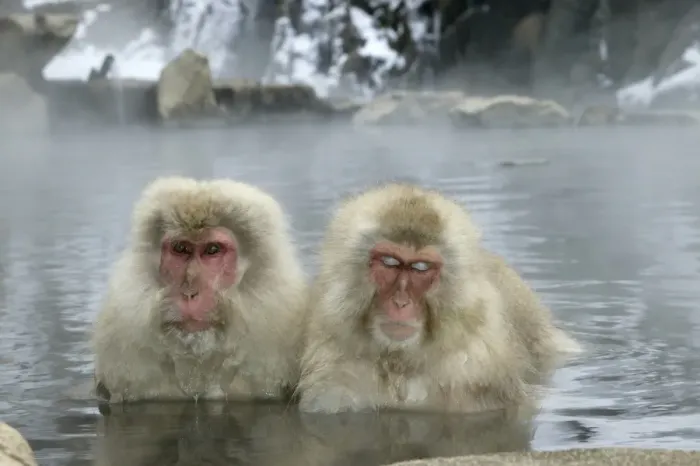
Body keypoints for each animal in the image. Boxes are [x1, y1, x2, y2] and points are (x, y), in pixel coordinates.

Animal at [297, 183, 580, 414]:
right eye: (389, 262)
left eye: (421, 267)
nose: (401, 303)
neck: (401, 363)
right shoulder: (335, 371)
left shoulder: (474, 372)